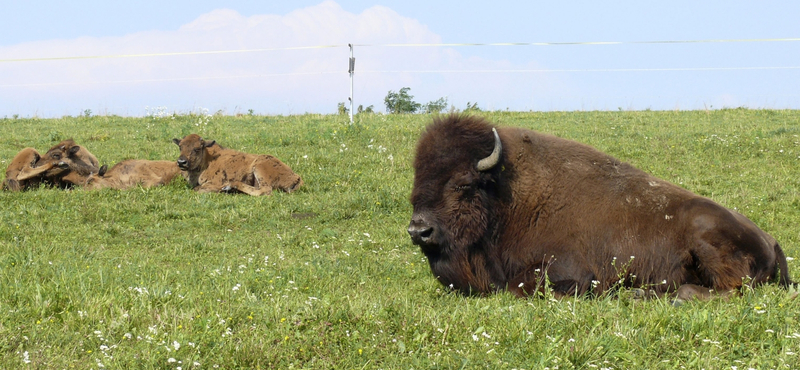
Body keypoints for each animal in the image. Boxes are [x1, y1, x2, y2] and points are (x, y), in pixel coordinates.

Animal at [172, 134, 304, 197]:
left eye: (197, 149)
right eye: (180, 147)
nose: (181, 162)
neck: (207, 159)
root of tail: (296, 177)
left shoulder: (214, 182)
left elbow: (198, 189)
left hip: (260, 166)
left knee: (264, 191)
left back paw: (229, 187)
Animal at [410, 114, 792, 300]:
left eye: (462, 183)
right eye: (417, 179)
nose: (418, 230)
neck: (505, 195)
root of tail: (770, 239)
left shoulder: (567, 268)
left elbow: (520, 286)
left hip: (707, 238)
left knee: (729, 291)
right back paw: (640, 293)